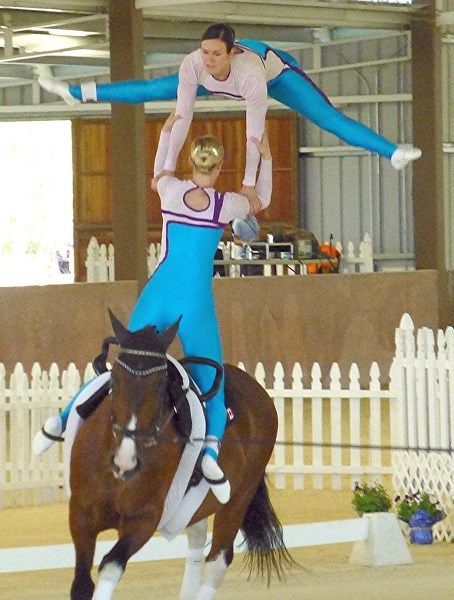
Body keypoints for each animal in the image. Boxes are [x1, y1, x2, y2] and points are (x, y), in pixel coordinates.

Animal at [68, 312, 292, 600]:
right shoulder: (80, 514)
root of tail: (258, 389)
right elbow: (81, 585)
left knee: (218, 559)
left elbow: (110, 565)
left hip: (238, 500)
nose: (125, 462)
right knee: (197, 538)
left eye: (161, 385)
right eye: (114, 380)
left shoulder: (143, 520)